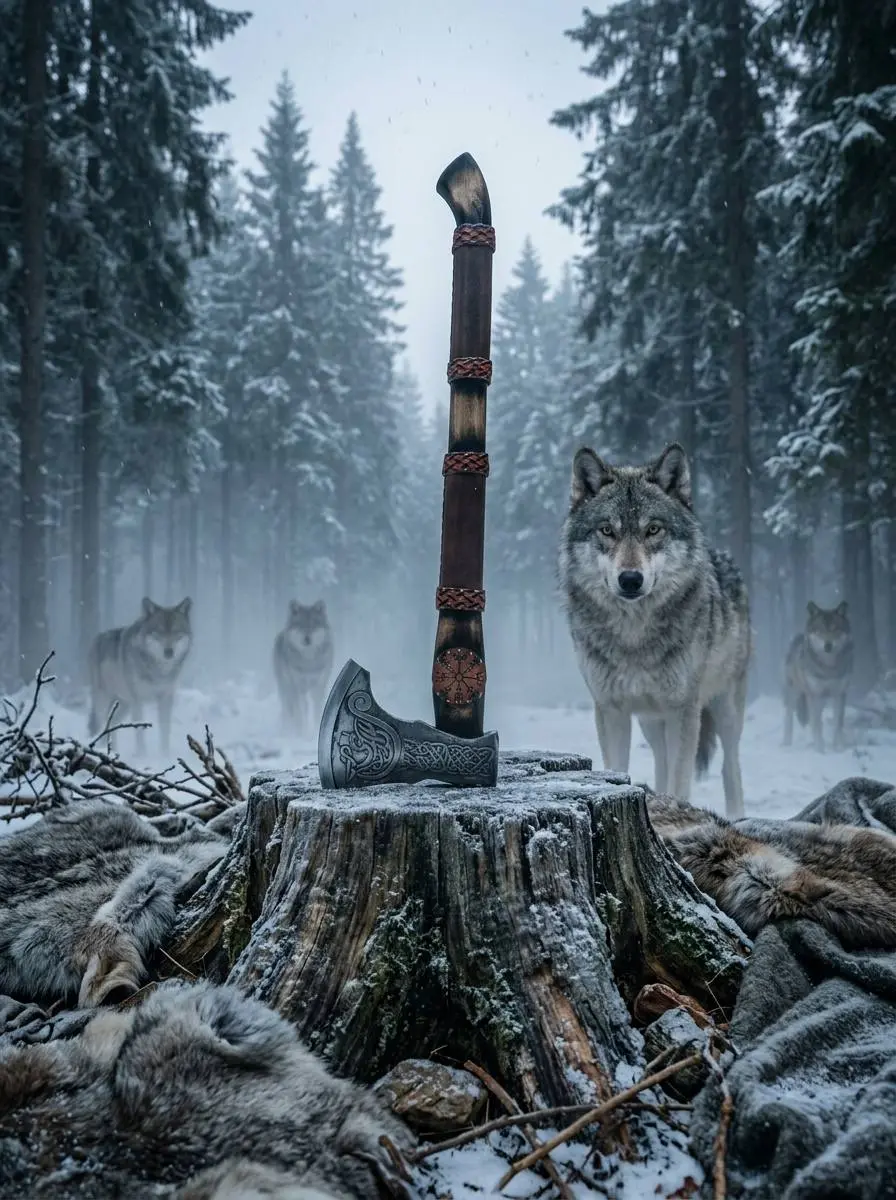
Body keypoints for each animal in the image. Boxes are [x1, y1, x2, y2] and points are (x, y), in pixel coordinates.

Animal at [88, 596, 193, 757]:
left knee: (112, 723)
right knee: (103, 723)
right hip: (104, 700)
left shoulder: (166, 698)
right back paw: (103, 750)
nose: (169, 652)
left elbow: (165, 730)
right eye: (159, 632)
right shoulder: (138, 700)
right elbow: (140, 730)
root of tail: (96, 638)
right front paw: (142, 755)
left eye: (176, 632)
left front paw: (165, 754)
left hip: (124, 705)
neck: (159, 671)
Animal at [273, 600, 334, 738]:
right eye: (300, 625)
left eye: (313, 625)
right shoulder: (297, 686)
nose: (307, 639)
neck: (308, 661)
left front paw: (317, 729)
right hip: (286, 688)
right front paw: (303, 734)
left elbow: (317, 710)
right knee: (290, 709)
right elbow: (301, 713)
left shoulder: (319, 686)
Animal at [559, 442, 752, 818]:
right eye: (607, 530)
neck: (634, 635)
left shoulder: (684, 710)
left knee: (730, 765)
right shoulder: (612, 710)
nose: (631, 579)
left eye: (653, 530)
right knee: (661, 761)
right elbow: (618, 770)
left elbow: (681, 781)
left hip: (724, 706)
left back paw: (738, 815)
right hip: (651, 720)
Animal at [783, 600, 853, 752]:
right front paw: (820, 750)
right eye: (819, 631)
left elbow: (837, 723)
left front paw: (838, 748)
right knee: (789, 717)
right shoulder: (815, 694)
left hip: (821, 700)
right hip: (795, 693)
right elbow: (817, 724)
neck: (829, 668)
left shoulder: (839, 694)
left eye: (835, 629)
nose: (828, 645)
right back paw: (786, 743)